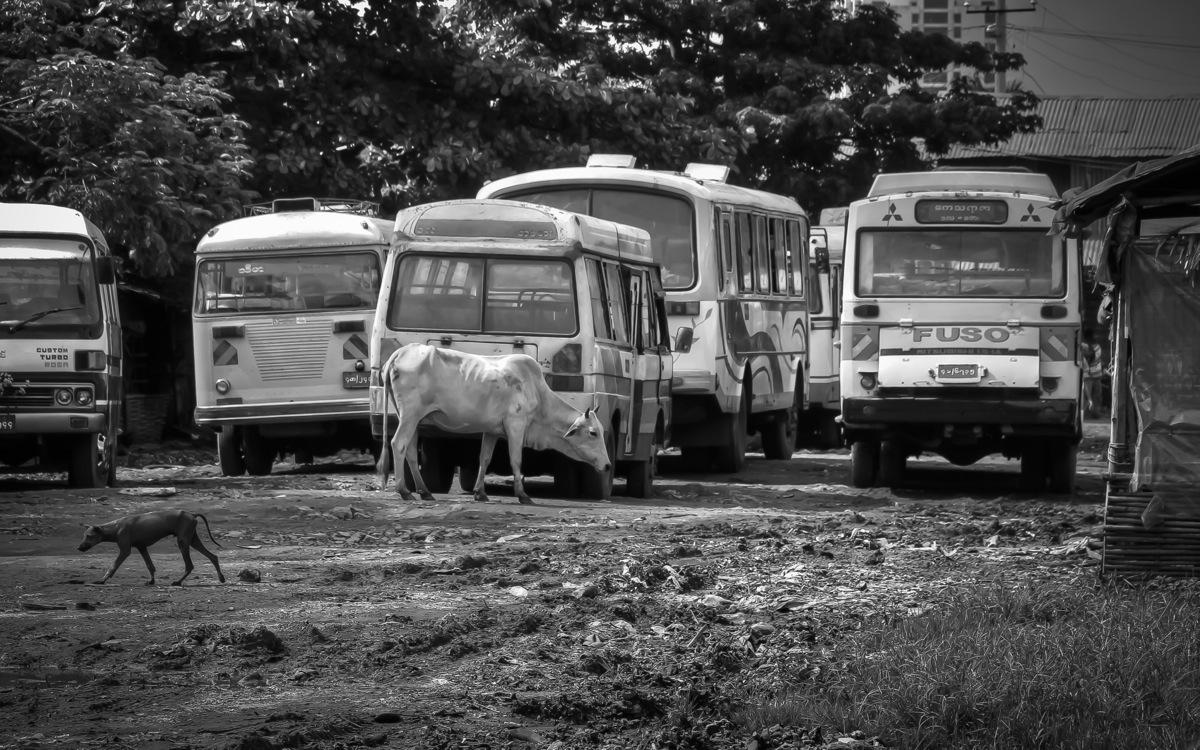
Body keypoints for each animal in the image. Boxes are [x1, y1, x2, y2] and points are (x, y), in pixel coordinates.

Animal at [78, 508, 226, 585]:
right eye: (84, 535)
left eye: (89, 536)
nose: (79, 548)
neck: (115, 527)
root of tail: (192, 514)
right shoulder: (142, 547)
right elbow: (150, 566)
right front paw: (151, 581)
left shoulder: (125, 551)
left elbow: (113, 566)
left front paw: (102, 580)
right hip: (192, 541)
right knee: (213, 557)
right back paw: (221, 578)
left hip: (183, 542)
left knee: (190, 565)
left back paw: (178, 582)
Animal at [376, 343, 609, 499]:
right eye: (593, 433)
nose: (607, 466)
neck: (537, 392)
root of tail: (401, 352)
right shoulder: (516, 425)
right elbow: (516, 460)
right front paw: (522, 495)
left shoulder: (492, 431)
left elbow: (484, 459)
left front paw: (480, 493)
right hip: (410, 415)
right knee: (398, 444)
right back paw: (404, 491)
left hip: (411, 418)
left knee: (410, 451)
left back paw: (424, 491)